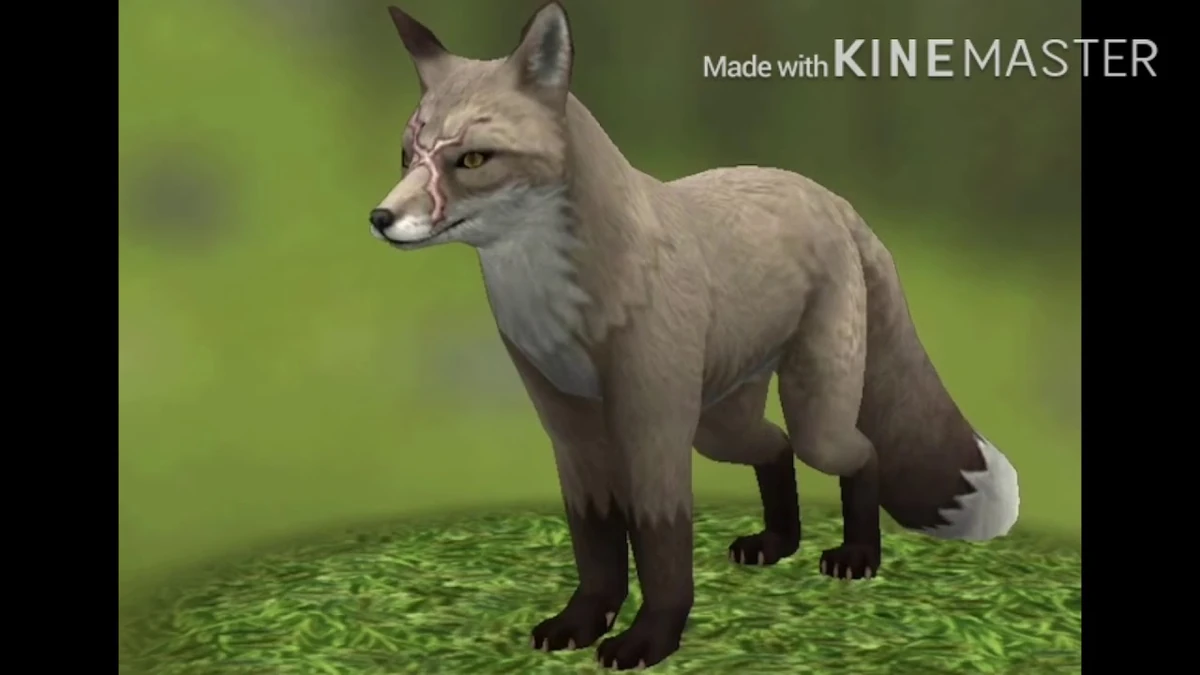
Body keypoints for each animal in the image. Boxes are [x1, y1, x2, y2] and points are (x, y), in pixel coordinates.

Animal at [369, 2, 1019, 670]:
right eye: (406, 156)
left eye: (473, 160)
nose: (380, 218)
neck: (557, 306)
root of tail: (828, 195)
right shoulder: (572, 431)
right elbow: (596, 544)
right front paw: (583, 622)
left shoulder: (651, 423)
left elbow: (661, 545)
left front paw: (650, 639)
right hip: (720, 424)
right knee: (775, 447)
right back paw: (777, 541)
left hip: (809, 412)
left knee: (858, 453)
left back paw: (858, 556)